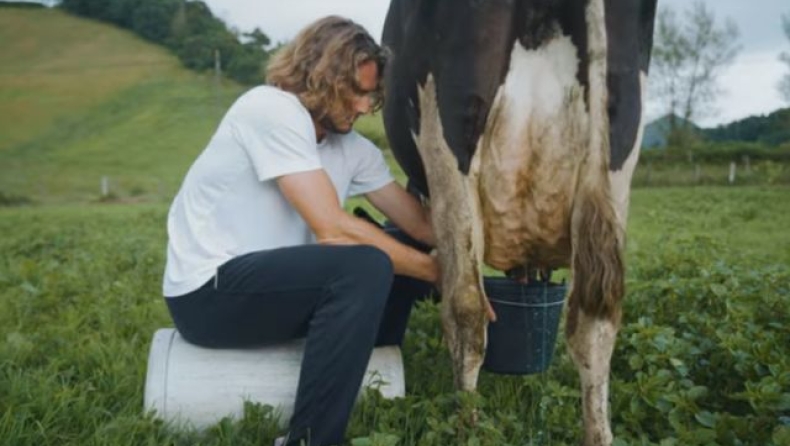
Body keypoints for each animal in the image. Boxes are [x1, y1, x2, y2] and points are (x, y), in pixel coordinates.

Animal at [380, 1, 660, 444]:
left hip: (448, 135)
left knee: (467, 309)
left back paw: (467, 425)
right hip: (619, 147)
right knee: (596, 323)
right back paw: (598, 434)